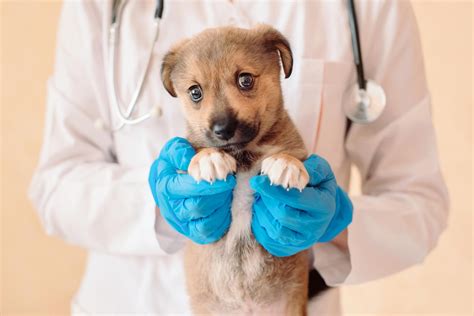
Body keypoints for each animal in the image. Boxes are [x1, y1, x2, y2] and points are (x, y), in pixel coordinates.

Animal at [161, 24, 312, 314]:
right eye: (195, 92)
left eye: (245, 79)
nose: (223, 130)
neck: (243, 156)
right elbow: (195, 154)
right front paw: (209, 158)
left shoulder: (299, 149)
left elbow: (292, 155)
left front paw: (286, 164)